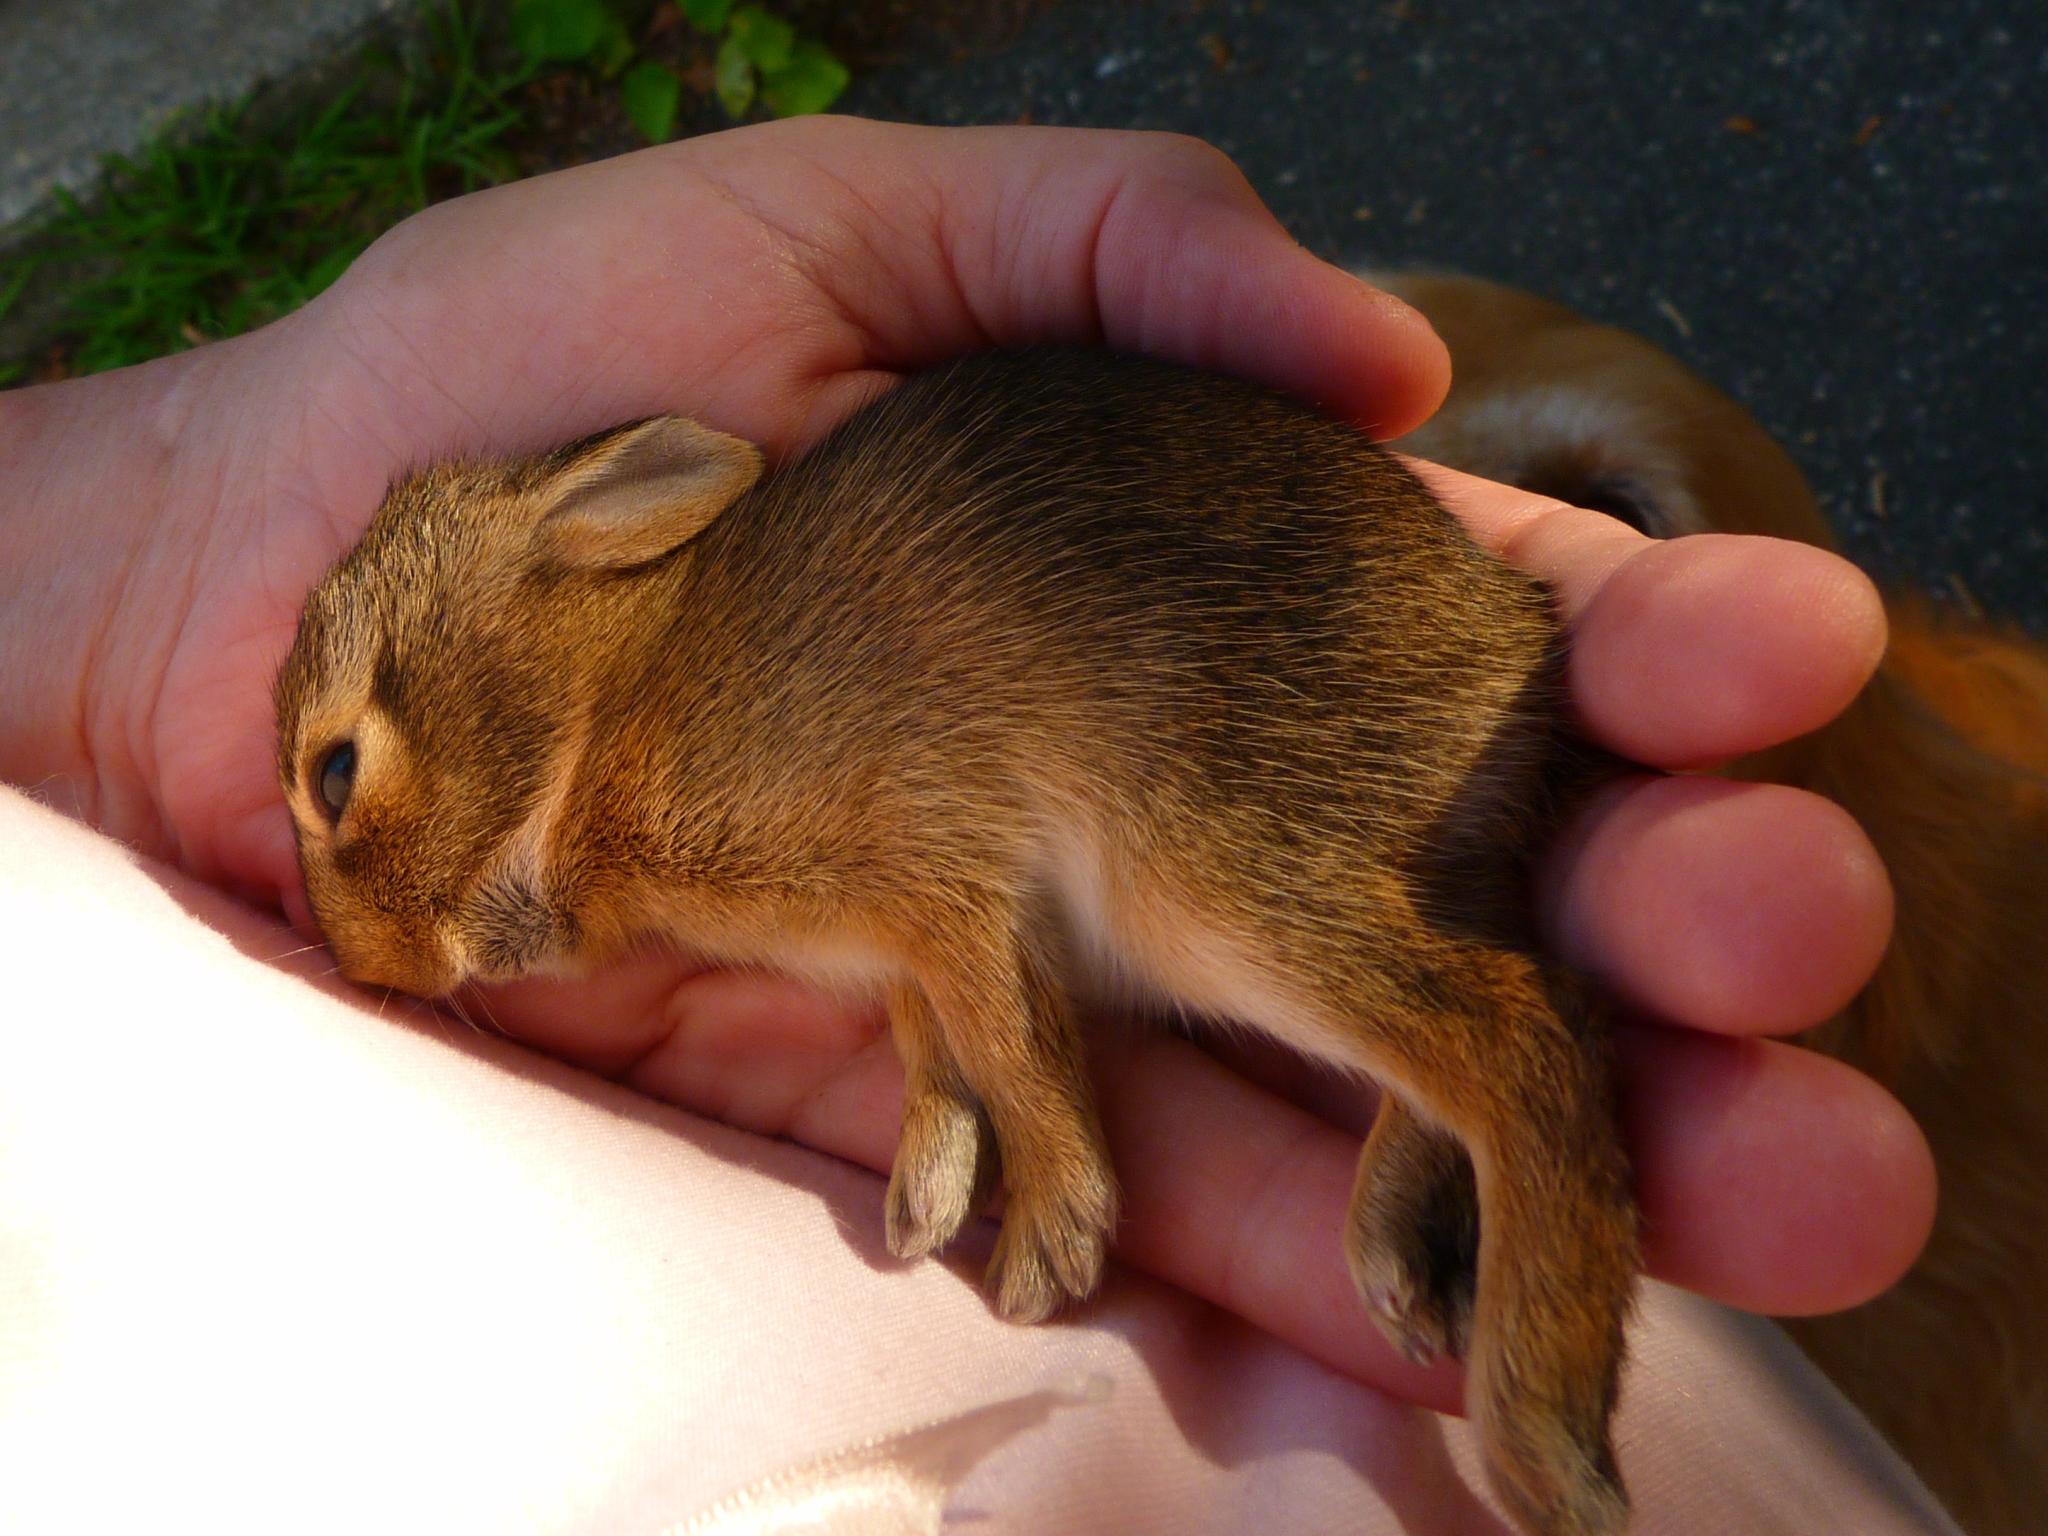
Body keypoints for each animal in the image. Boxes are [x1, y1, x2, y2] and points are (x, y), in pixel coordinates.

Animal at [280, 348, 1638, 1536]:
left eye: (334, 773)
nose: (372, 967)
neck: (597, 716)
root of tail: (1517, 643)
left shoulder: (943, 872)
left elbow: (1007, 1038)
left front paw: (1050, 1238)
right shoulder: (902, 943)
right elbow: (938, 1039)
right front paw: (929, 1189)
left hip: (1205, 879)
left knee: (1522, 1033)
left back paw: (1543, 1452)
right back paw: (1394, 1256)